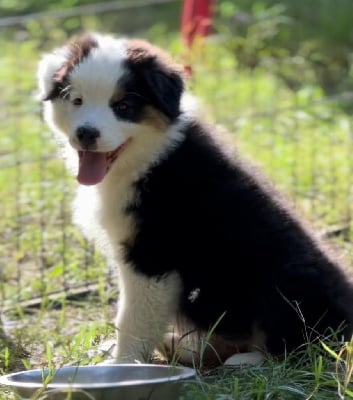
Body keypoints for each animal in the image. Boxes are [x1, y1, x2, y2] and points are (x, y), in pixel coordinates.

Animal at [37, 32, 352, 366]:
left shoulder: (152, 255)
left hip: (285, 278)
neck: (149, 157)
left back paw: (245, 360)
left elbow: (132, 318)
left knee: (301, 342)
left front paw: (123, 364)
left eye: (123, 106)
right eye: (77, 100)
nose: (86, 133)